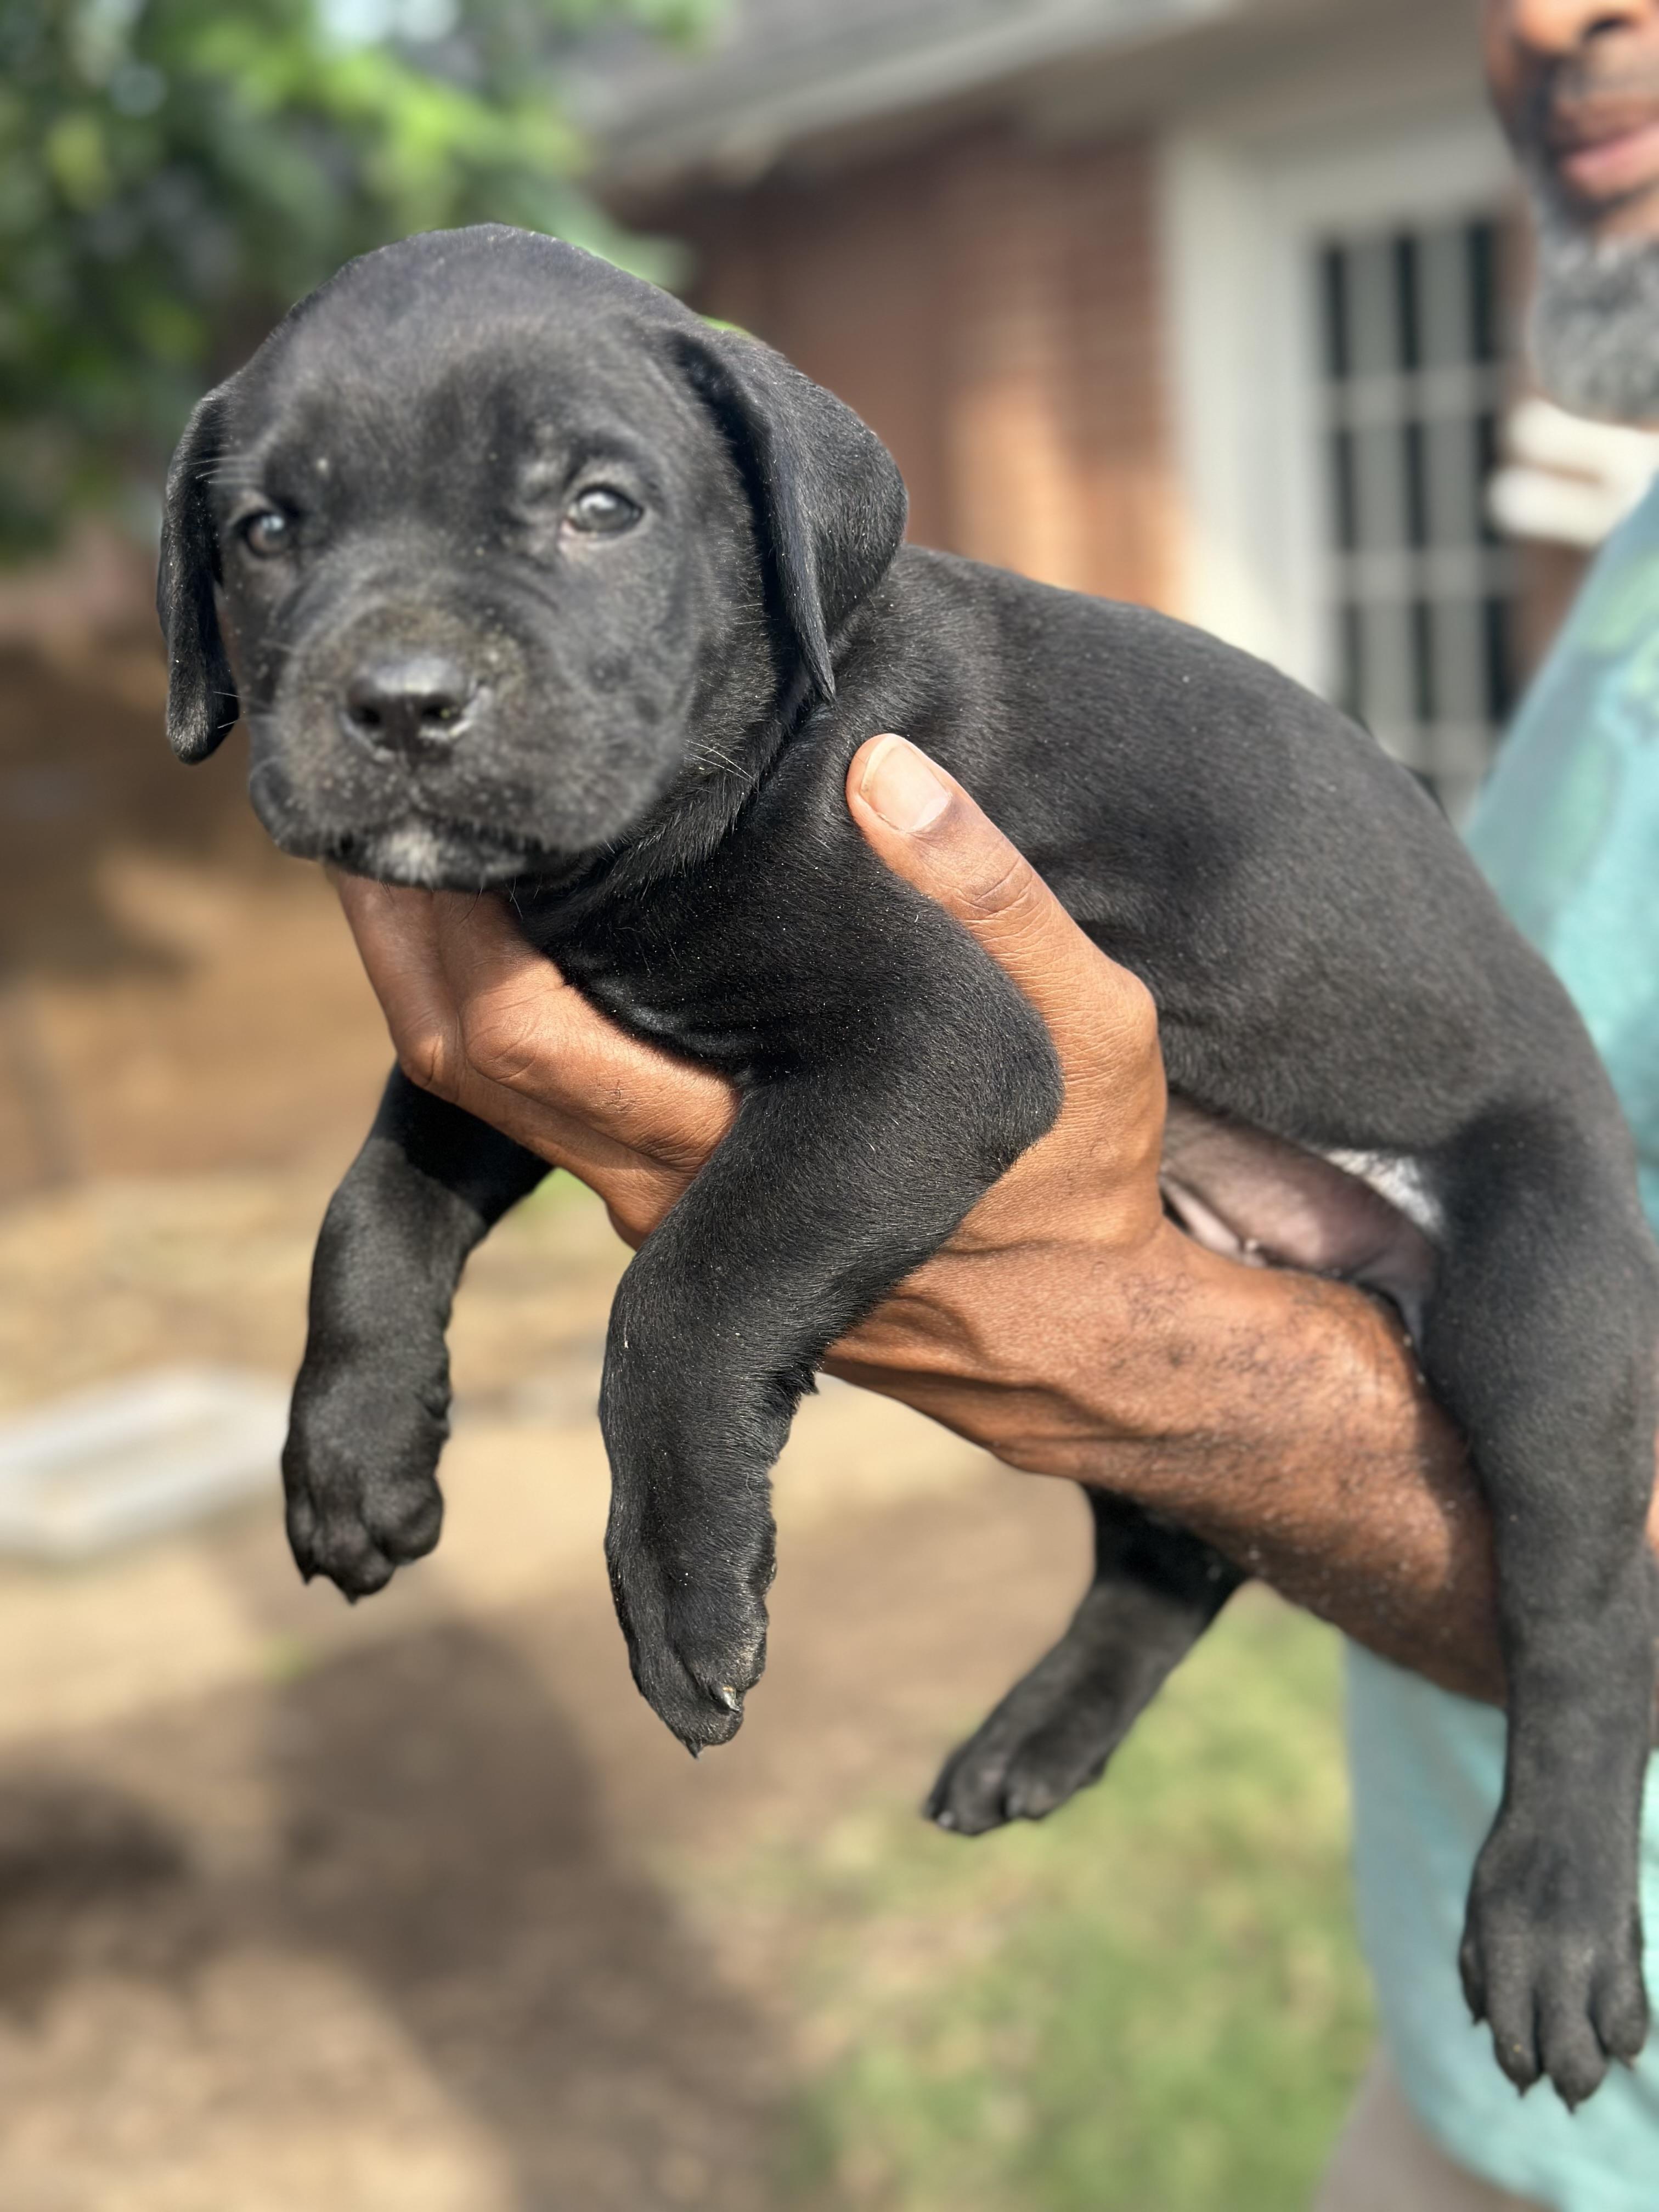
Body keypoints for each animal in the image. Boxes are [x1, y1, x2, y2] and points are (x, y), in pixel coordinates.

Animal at [158, 225, 1658, 2108]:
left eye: (598, 506)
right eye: (263, 530)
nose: (401, 705)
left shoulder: (942, 1037)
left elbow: (683, 1292)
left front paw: (684, 1589)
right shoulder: (511, 1037)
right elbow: (373, 1206)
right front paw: (354, 1457)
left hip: (1546, 1307)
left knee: (1585, 1610)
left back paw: (1554, 1921)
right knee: (1175, 1549)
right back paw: (1044, 1733)